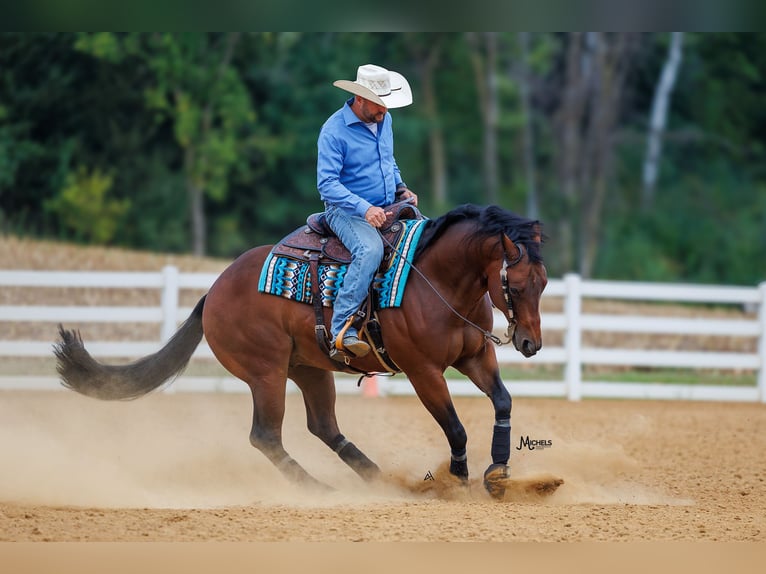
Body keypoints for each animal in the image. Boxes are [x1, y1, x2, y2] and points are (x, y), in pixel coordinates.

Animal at [54, 203, 549, 499]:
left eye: (543, 283)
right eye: (517, 284)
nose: (530, 343)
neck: (436, 281)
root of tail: (214, 293)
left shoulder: (475, 357)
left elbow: (503, 401)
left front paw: (498, 472)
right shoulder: (423, 371)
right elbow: (455, 427)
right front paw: (459, 482)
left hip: (310, 369)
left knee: (324, 427)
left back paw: (376, 479)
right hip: (265, 373)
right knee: (265, 436)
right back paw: (317, 489)